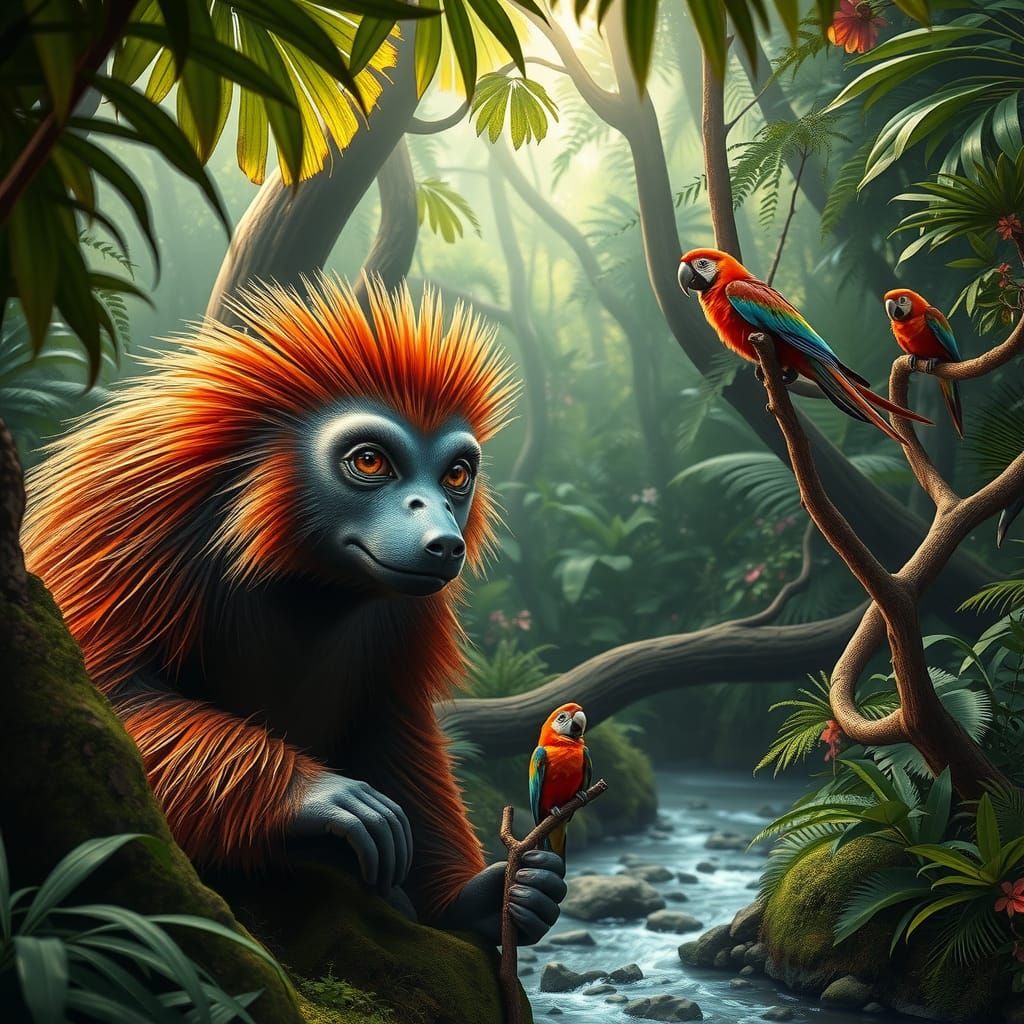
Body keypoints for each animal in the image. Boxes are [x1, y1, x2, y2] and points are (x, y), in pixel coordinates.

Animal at [22, 275, 566, 943]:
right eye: (369, 461)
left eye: (457, 475)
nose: (443, 537)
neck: (303, 572)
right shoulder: (131, 520)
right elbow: (108, 694)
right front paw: (312, 797)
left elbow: (394, 720)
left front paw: (485, 900)